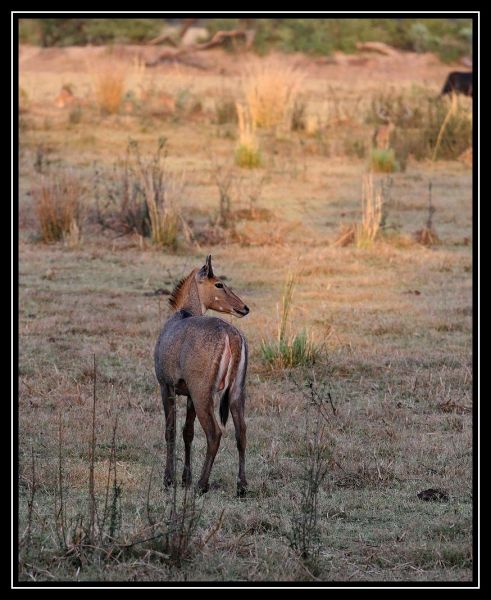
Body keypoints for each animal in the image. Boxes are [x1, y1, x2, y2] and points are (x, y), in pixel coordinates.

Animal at [155, 255, 250, 494]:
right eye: (219, 284)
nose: (244, 308)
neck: (183, 313)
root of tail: (231, 334)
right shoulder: (188, 393)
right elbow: (187, 432)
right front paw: (184, 478)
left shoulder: (166, 386)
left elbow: (170, 430)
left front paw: (169, 480)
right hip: (236, 392)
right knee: (241, 431)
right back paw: (241, 486)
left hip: (203, 394)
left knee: (214, 433)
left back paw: (202, 484)